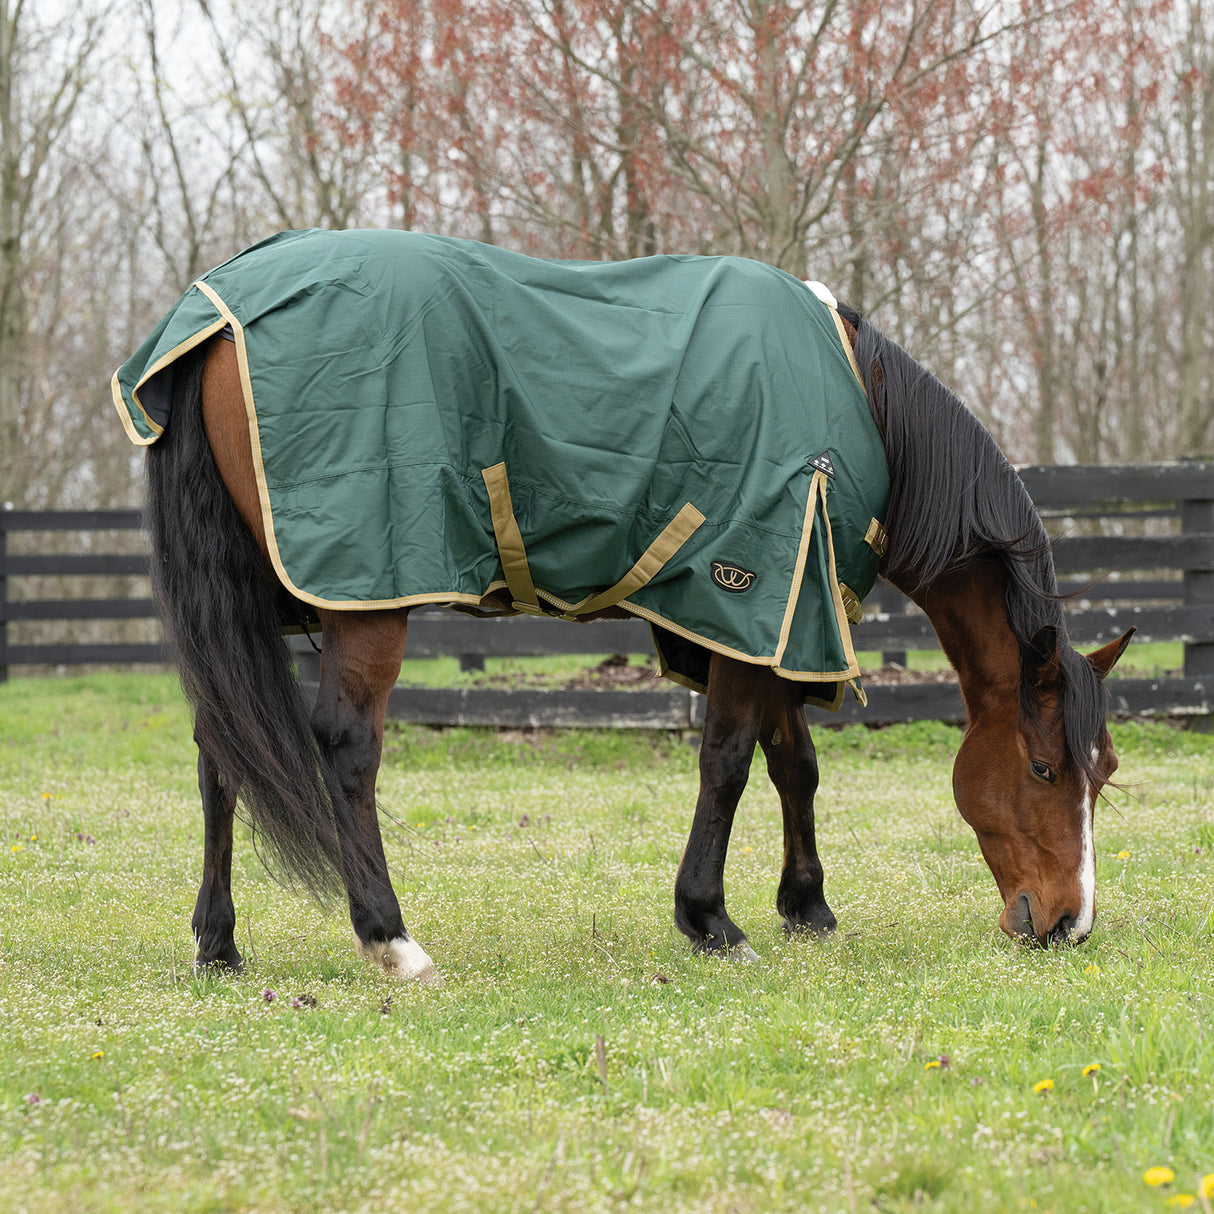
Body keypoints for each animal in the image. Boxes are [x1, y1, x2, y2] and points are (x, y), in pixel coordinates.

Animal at [118, 231, 1132, 983]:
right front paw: (711, 920)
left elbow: (792, 765)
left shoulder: (784, 617)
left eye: (1105, 774)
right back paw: (390, 939)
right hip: (366, 598)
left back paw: (219, 943)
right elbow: (727, 762)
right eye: (1044, 768)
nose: (1069, 924)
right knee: (346, 749)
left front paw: (807, 907)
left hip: (255, 601)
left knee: (222, 743)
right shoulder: (760, 593)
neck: (864, 404)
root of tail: (215, 314)